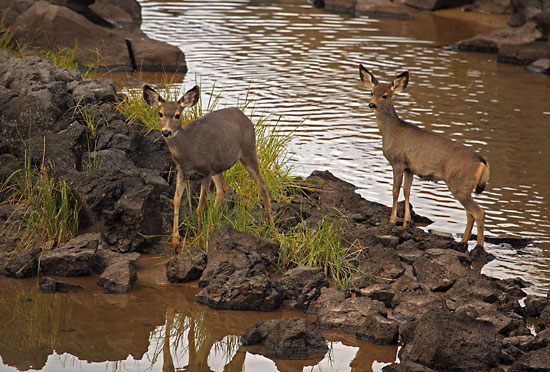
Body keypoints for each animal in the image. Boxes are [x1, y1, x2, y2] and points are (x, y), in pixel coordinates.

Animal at [144, 84, 274, 250]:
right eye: (160, 114)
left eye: (178, 115)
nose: (166, 132)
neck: (188, 150)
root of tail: (246, 117)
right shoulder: (182, 172)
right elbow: (176, 200)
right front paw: (176, 242)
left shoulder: (205, 172)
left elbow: (200, 206)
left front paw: (198, 241)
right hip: (217, 166)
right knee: (222, 188)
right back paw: (212, 224)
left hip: (248, 150)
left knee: (261, 184)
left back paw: (271, 225)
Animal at [362, 65, 492, 248]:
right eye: (371, 92)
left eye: (385, 95)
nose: (371, 104)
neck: (391, 131)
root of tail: (483, 162)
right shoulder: (409, 168)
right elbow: (407, 191)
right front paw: (406, 222)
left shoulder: (397, 162)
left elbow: (395, 190)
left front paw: (392, 220)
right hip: (464, 187)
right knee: (470, 213)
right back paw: (463, 243)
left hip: (459, 184)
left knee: (479, 212)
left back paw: (478, 249)